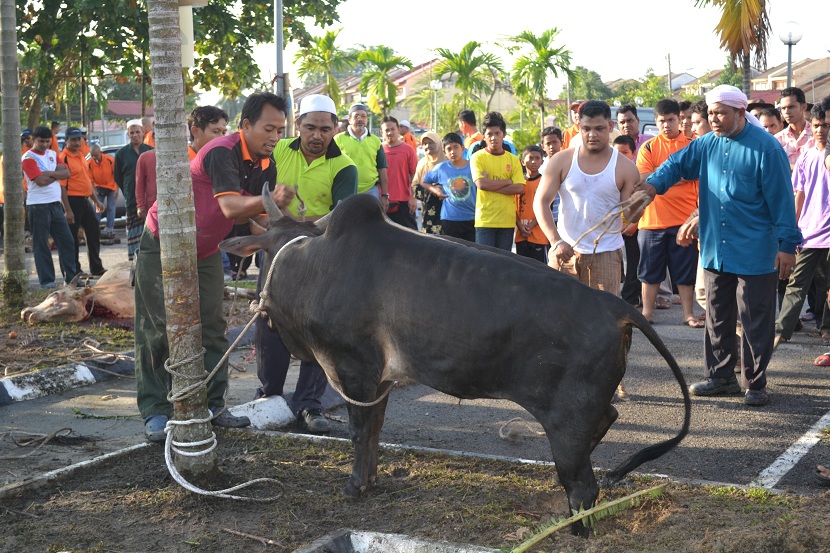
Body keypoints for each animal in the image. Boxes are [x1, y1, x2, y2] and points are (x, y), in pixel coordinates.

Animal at [219, 191, 688, 536]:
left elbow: (359, 432)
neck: (311, 262)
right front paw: (371, 481)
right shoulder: (381, 381)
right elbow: (375, 431)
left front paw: (355, 487)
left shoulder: (354, 370)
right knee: (607, 420)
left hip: (566, 419)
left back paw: (572, 530)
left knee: (583, 485)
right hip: (583, 409)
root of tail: (616, 307)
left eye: (262, 254)